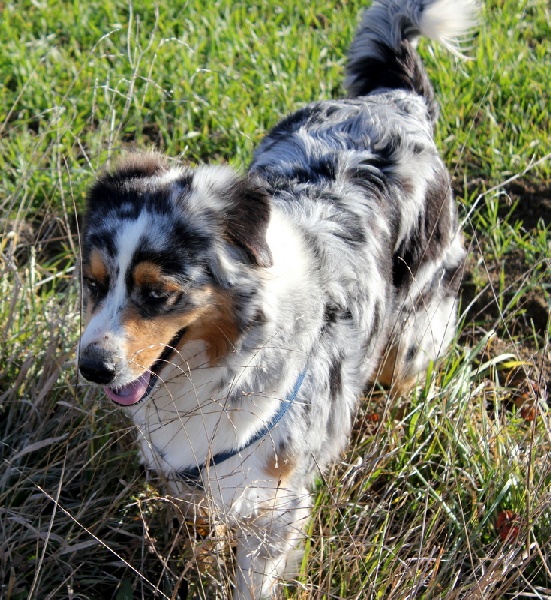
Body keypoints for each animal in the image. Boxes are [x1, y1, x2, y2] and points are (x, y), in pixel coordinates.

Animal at [78, 0, 477, 597]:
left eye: (157, 293)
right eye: (95, 282)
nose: (91, 367)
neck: (217, 370)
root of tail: (395, 100)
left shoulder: (275, 501)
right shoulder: (188, 472)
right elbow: (200, 521)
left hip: (411, 334)